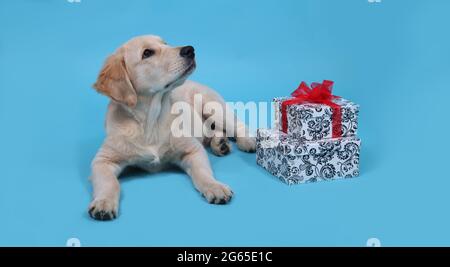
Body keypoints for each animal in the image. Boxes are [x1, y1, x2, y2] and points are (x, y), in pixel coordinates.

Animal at [89, 34, 256, 221]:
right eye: (147, 53)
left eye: (165, 43)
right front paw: (104, 202)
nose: (190, 49)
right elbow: (109, 182)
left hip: (214, 107)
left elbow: (203, 172)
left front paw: (215, 187)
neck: (151, 121)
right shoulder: (103, 160)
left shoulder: (193, 150)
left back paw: (246, 141)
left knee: (239, 125)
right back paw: (220, 143)